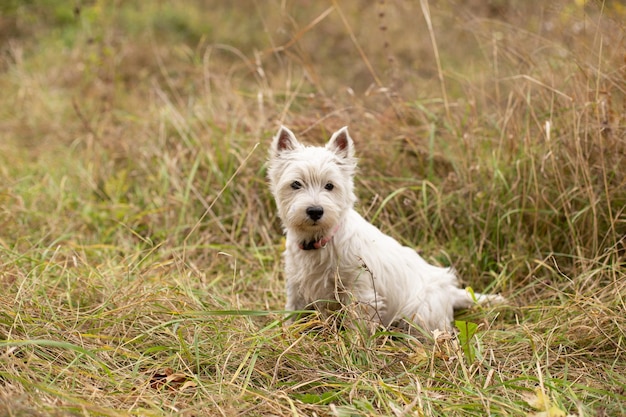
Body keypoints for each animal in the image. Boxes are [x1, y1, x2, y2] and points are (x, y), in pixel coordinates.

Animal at [268, 125, 502, 334]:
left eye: (329, 186)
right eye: (296, 184)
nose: (315, 211)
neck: (320, 240)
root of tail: (451, 292)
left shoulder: (360, 290)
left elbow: (357, 326)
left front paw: (356, 348)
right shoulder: (296, 286)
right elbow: (292, 314)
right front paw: (286, 334)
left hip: (420, 310)